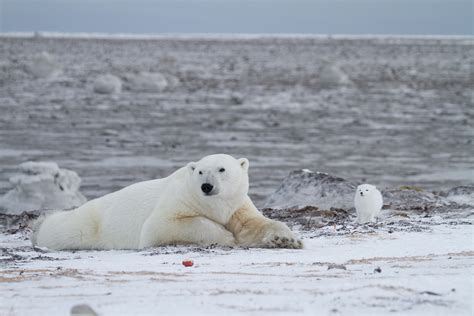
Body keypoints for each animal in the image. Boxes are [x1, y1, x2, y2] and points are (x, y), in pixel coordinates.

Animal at [33, 154, 302, 251]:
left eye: (222, 169)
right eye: (200, 172)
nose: (207, 186)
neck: (214, 205)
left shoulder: (236, 206)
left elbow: (253, 225)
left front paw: (287, 239)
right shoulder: (178, 200)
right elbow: (163, 225)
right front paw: (226, 236)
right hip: (84, 225)